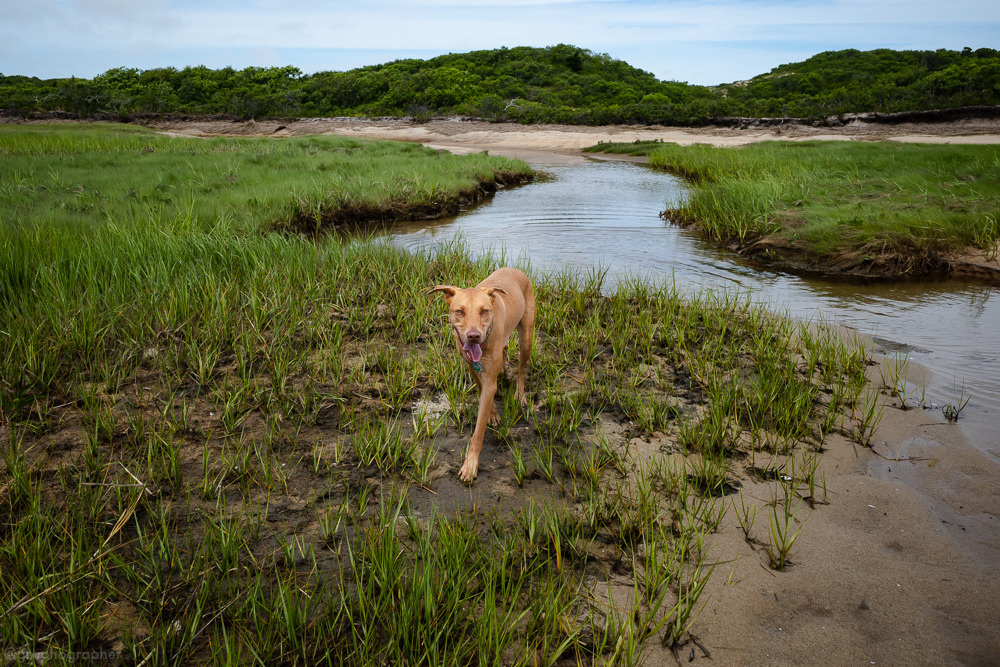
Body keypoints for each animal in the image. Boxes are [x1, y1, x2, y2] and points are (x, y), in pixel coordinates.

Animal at [430, 268, 540, 482]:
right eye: (459, 311)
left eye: (484, 311)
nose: (473, 336)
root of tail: (516, 269)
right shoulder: (472, 367)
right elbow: (483, 390)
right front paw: (493, 414)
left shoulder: (489, 379)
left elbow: (478, 430)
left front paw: (471, 464)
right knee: (505, 348)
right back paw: (504, 371)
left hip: (526, 338)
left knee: (522, 368)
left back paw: (520, 394)